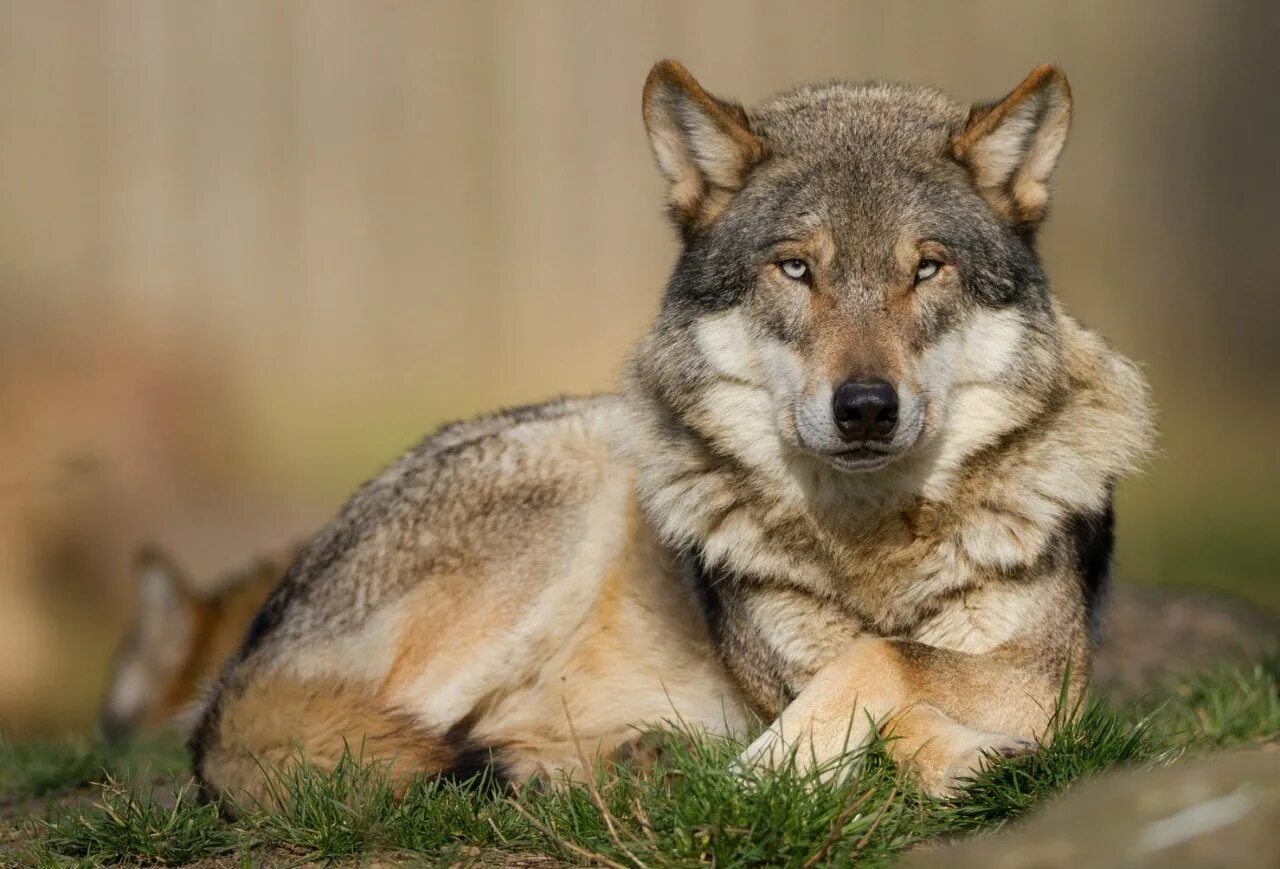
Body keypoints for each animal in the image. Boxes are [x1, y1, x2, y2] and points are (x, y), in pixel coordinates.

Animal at [192, 63, 1162, 808]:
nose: (865, 407)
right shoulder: (795, 671)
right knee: (338, 751)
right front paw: (780, 771)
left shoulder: (1049, 672)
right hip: (568, 497)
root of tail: (245, 661)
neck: (870, 545)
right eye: (796, 268)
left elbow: (887, 665)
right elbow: (877, 672)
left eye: (927, 269)